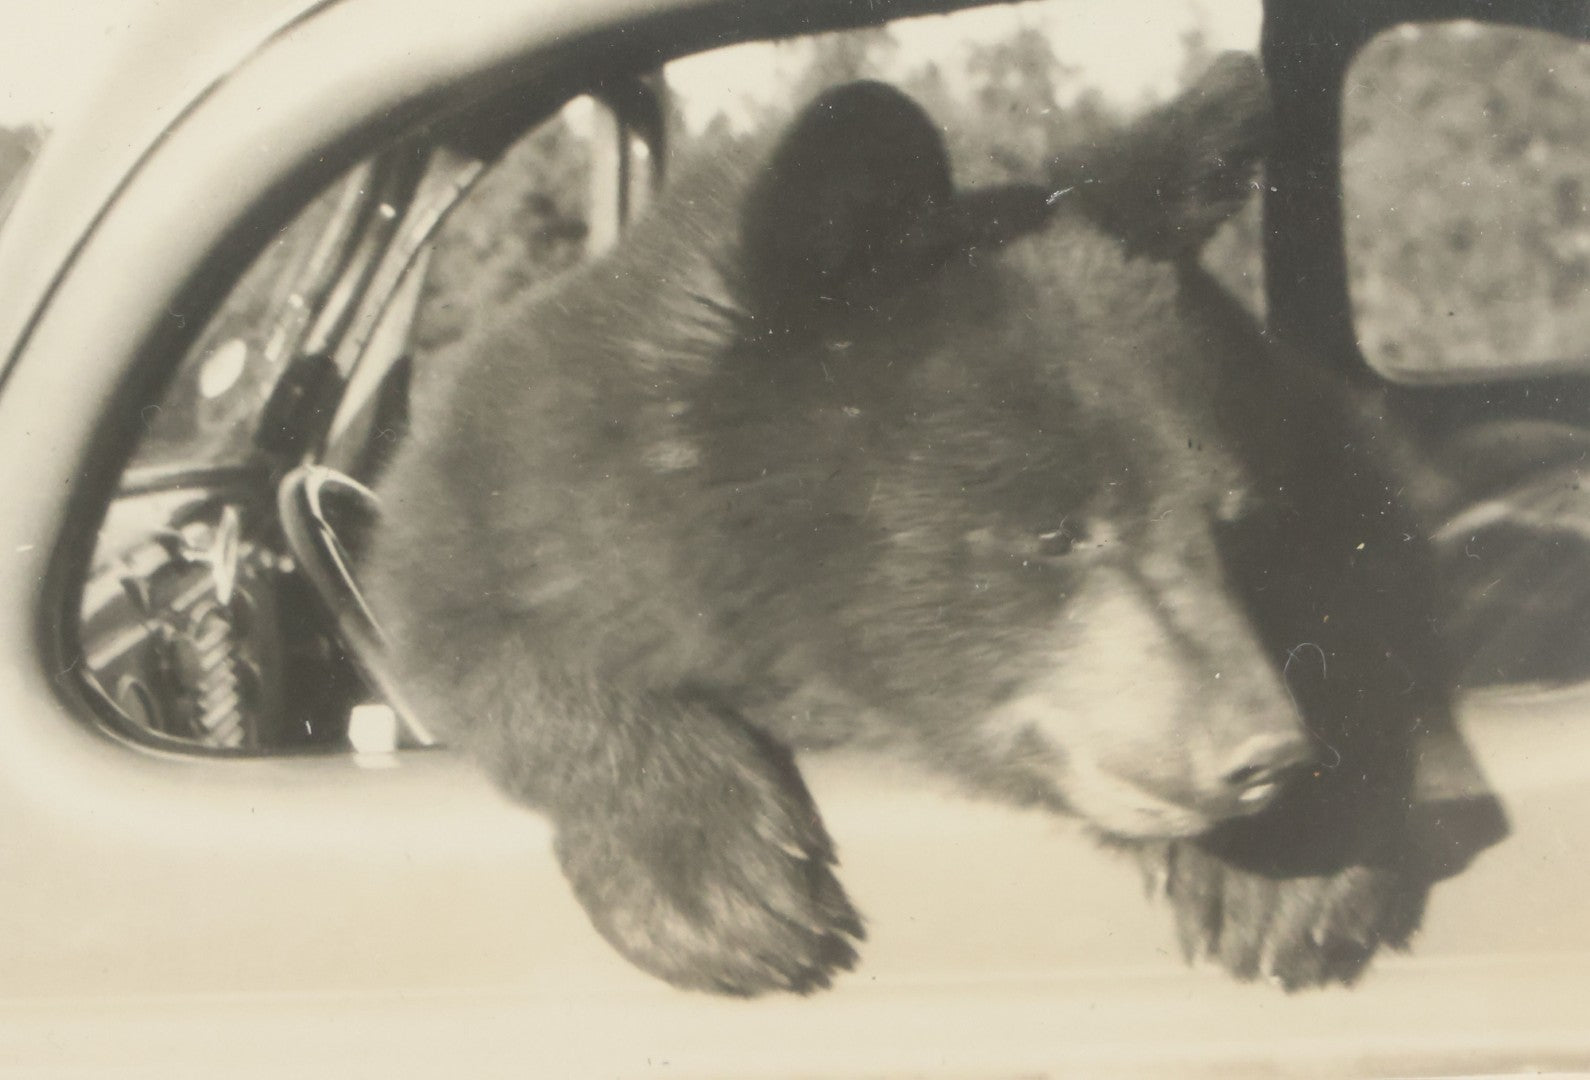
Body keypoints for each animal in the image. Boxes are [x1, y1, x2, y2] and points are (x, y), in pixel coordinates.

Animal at [361, 54, 1462, 996]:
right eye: (1055, 531)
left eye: (1231, 517)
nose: (1262, 753)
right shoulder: (527, 478)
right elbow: (465, 607)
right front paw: (714, 879)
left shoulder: (1303, 430)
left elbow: (1370, 572)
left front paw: (1292, 867)